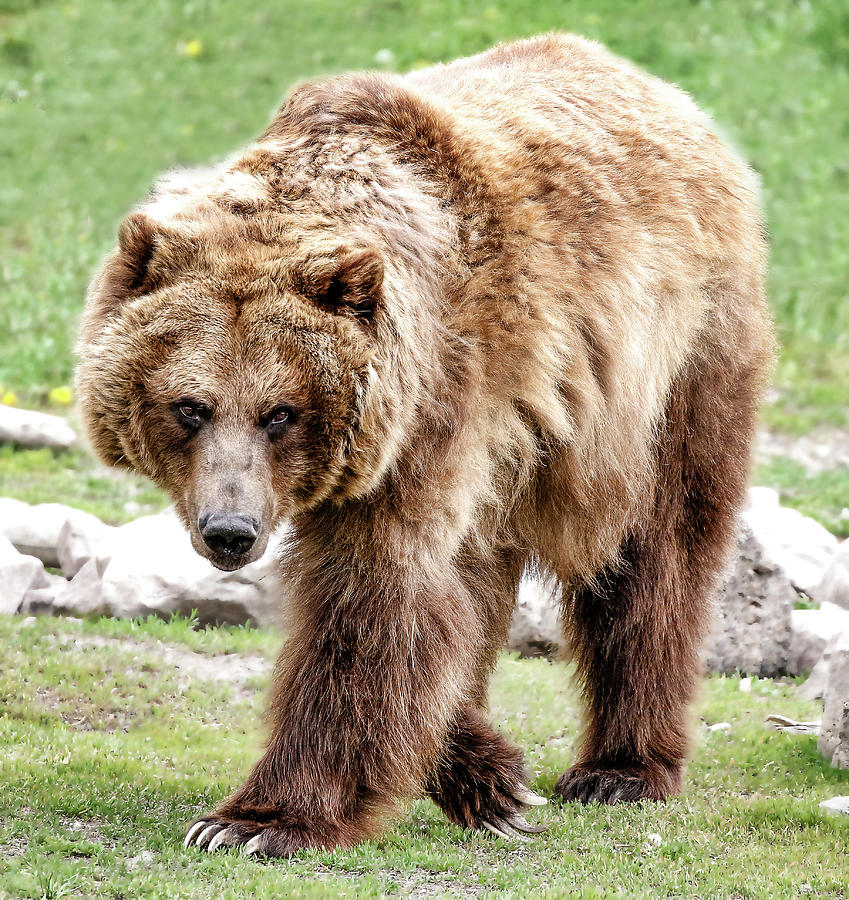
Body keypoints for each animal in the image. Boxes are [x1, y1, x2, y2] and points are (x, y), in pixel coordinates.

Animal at [78, 33, 776, 852]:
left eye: (280, 412)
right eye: (190, 407)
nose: (230, 531)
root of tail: (664, 93)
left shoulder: (434, 406)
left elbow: (377, 599)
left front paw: (254, 822)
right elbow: (437, 613)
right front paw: (490, 776)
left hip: (671, 366)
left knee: (654, 549)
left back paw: (621, 769)